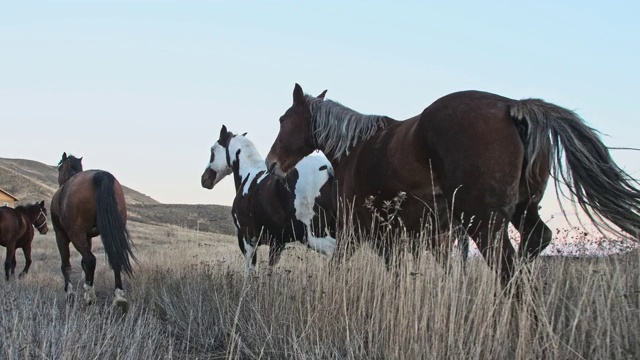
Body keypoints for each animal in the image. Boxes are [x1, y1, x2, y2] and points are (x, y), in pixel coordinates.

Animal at [52, 152, 136, 310]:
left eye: (59, 167)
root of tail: (99, 175)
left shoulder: (61, 235)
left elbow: (66, 265)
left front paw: (70, 294)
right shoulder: (88, 237)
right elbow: (83, 264)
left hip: (75, 234)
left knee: (91, 259)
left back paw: (91, 298)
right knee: (114, 258)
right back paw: (119, 298)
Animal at [202, 124, 338, 270]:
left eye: (212, 150)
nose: (204, 179)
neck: (249, 174)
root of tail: (328, 167)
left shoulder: (247, 239)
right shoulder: (277, 242)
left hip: (312, 236)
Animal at [268, 83, 640, 286]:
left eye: (284, 119)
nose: (272, 164)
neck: (357, 147)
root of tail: (512, 107)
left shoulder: (357, 228)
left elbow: (341, 267)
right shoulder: (396, 236)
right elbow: (397, 276)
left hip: (485, 223)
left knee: (507, 269)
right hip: (523, 210)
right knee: (534, 244)